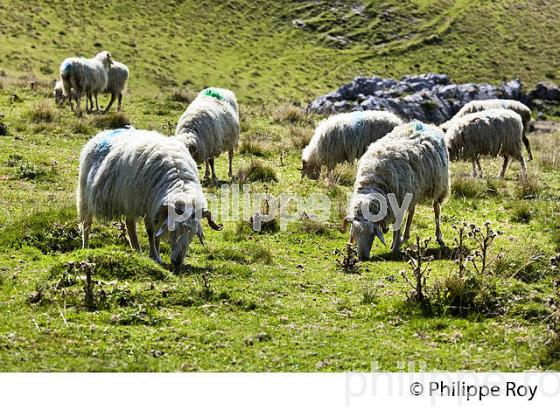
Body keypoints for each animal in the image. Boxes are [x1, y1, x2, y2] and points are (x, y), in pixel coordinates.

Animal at [77, 126, 225, 270]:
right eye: (172, 231)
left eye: (192, 234)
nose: (177, 262)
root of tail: (103, 133)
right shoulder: (149, 206)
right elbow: (151, 232)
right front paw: (154, 256)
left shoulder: (157, 208)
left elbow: (157, 235)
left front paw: (157, 256)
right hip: (86, 196)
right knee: (86, 223)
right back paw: (85, 247)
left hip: (130, 200)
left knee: (130, 224)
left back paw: (137, 250)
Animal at [342, 120, 450, 260]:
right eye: (354, 232)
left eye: (372, 233)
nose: (362, 257)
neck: (373, 182)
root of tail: (424, 123)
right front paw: (396, 242)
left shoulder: (397, 202)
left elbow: (397, 225)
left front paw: (395, 247)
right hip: (413, 189)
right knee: (411, 211)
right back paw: (406, 236)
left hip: (439, 184)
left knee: (436, 209)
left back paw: (438, 236)